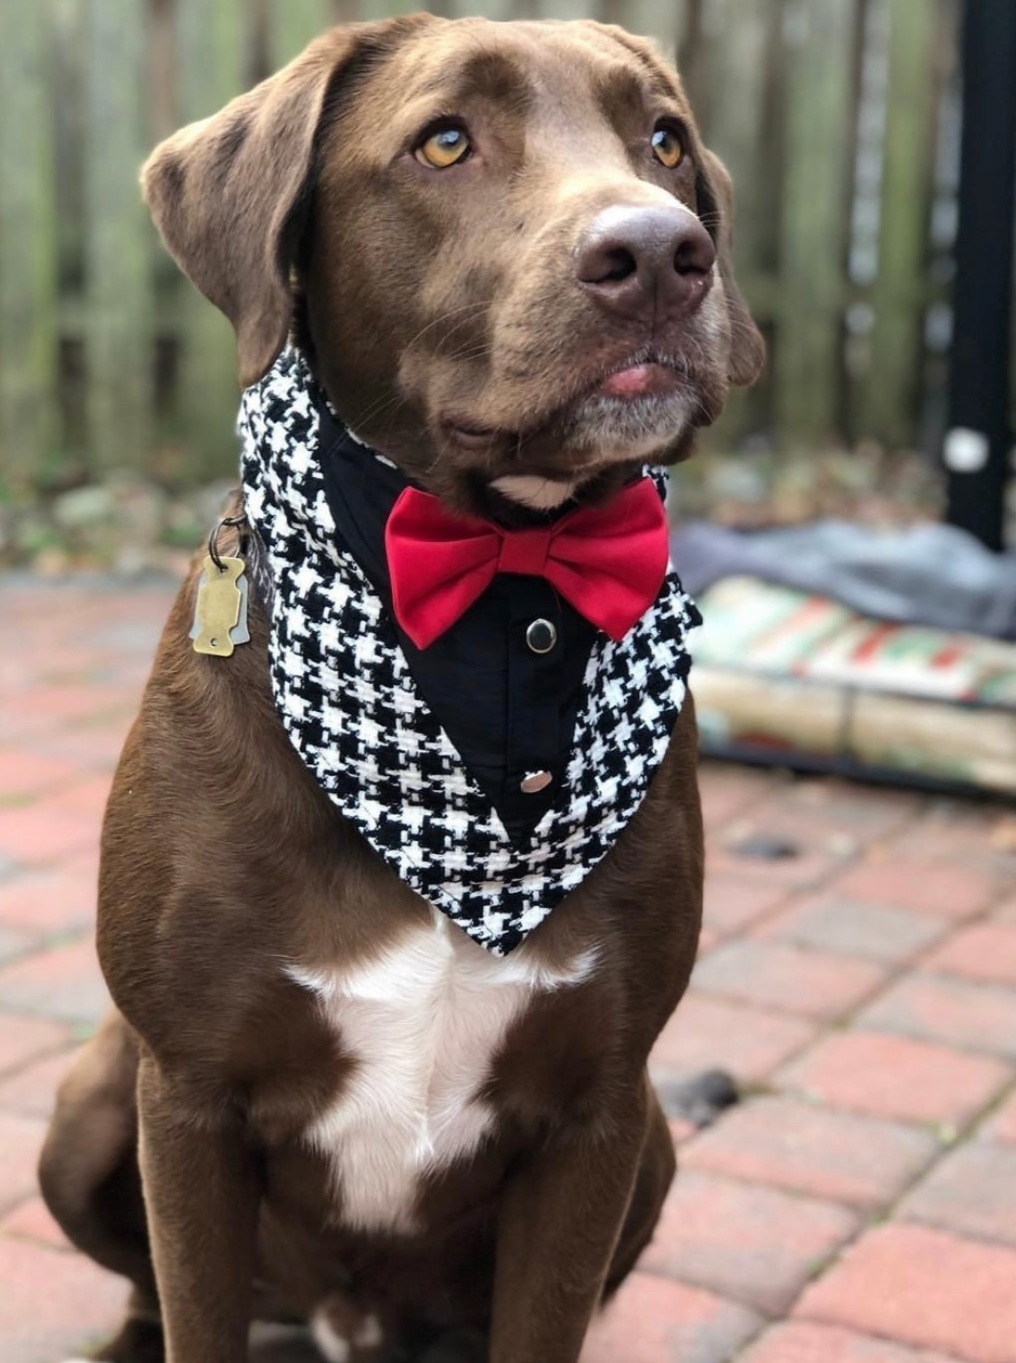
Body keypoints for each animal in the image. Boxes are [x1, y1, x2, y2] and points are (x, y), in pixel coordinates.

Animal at [39, 13, 763, 1363]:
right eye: (442, 142)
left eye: (662, 140)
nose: (657, 252)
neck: (498, 581)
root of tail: (343, 1325)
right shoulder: (188, 1097)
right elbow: (192, 1307)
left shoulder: (596, 1113)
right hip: (90, 1104)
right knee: (143, 1288)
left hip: (653, 1149)